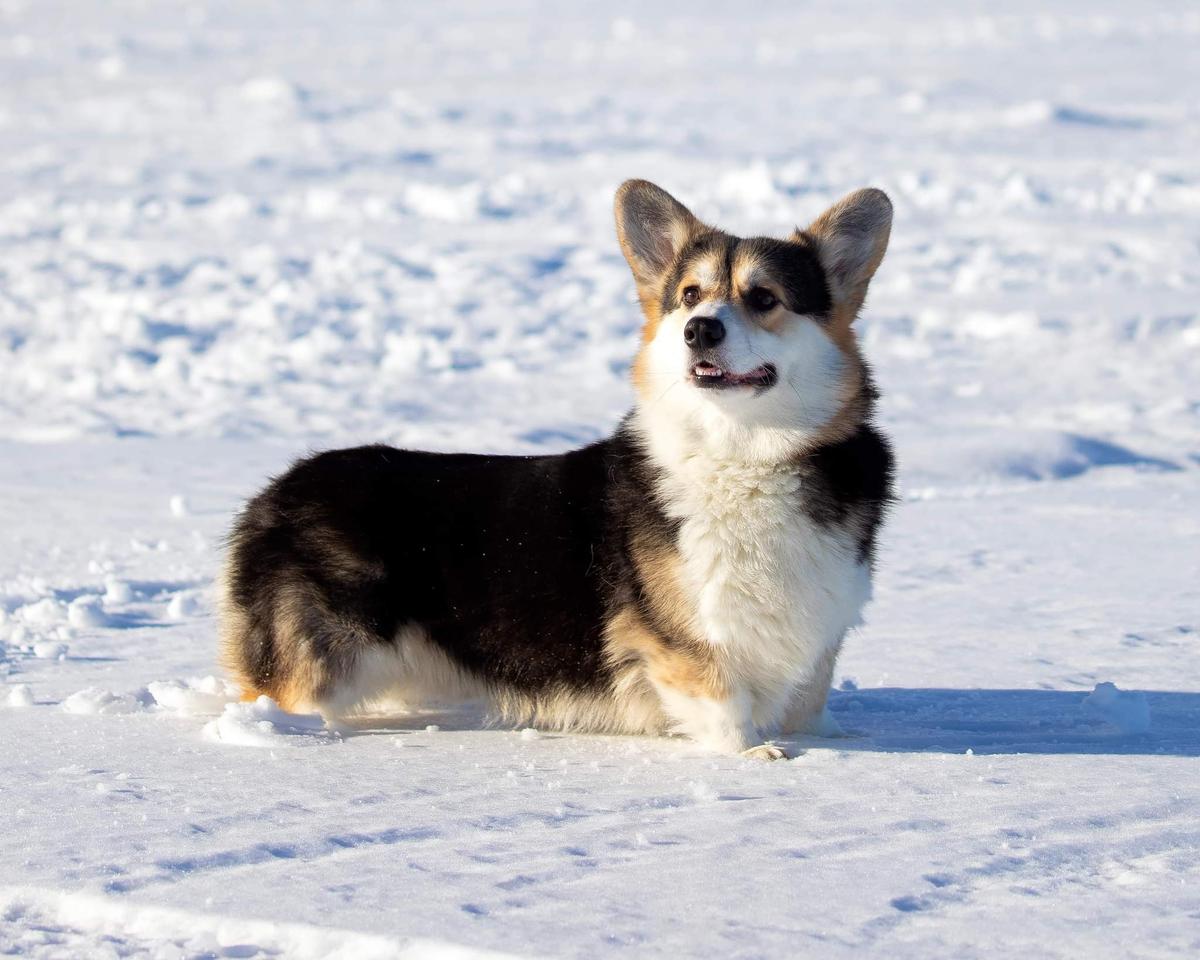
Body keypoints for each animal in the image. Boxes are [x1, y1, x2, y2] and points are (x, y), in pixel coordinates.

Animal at [218, 180, 892, 758]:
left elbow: (809, 700)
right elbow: (724, 709)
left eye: (764, 298)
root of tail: (269, 497)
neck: (742, 455)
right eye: (689, 296)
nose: (699, 330)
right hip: (325, 661)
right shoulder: (687, 643)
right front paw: (758, 755)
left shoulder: (819, 636)